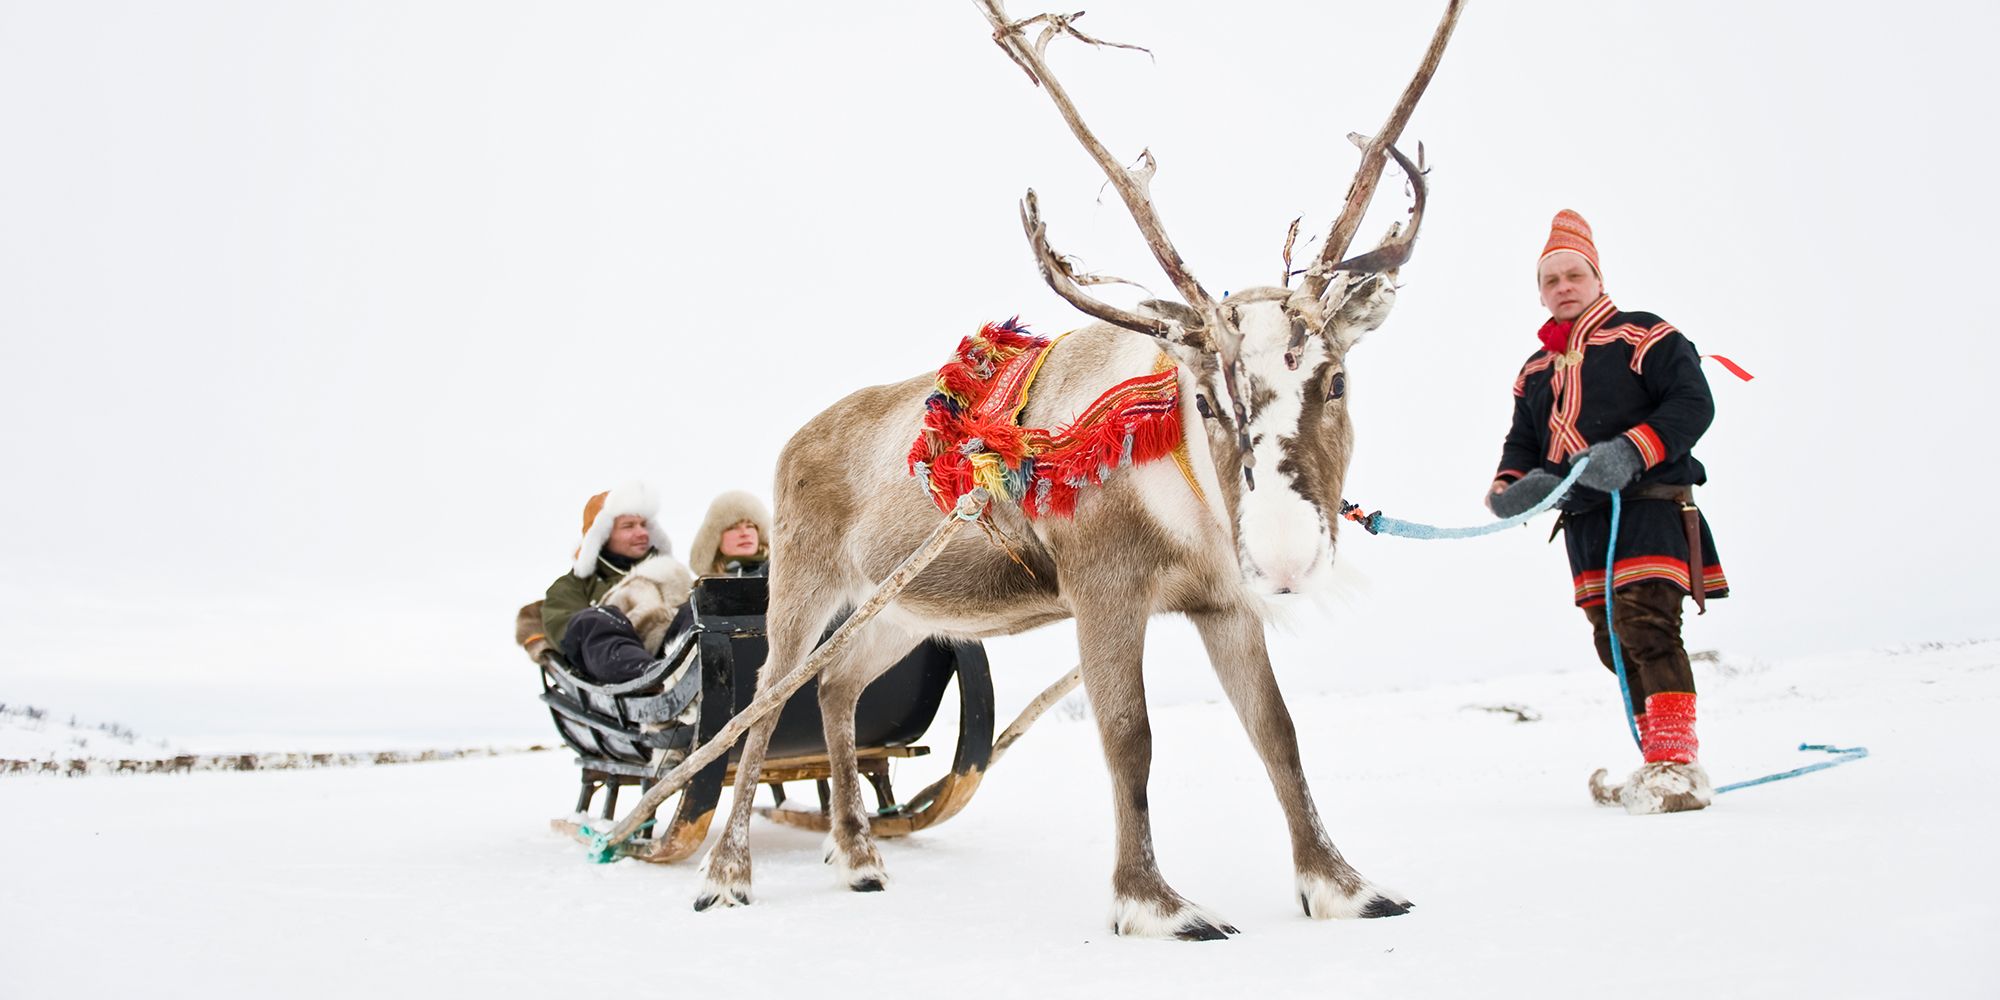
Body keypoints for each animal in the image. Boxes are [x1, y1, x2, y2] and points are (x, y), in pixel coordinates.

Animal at [693, 0, 1463, 939]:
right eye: (1206, 398)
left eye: (1338, 379)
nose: (1285, 556)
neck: (1186, 504)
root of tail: (795, 440)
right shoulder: (1104, 589)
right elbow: (1129, 737)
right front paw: (1155, 905)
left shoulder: (1224, 603)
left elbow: (1277, 733)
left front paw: (1343, 886)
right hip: (804, 582)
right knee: (767, 704)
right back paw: (728, 874)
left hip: (902, 610)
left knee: (837, 690)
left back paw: (859, 855)